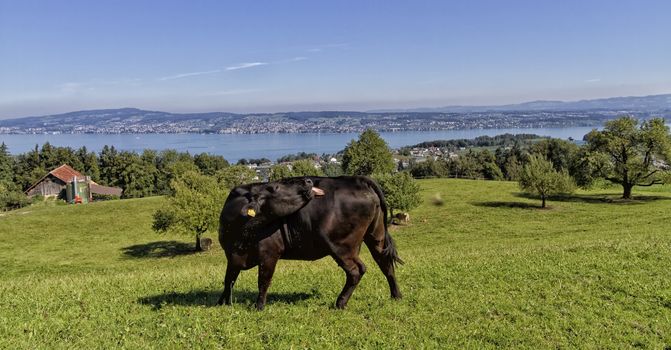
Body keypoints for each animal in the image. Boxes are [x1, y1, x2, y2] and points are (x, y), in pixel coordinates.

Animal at [218, 176, 402, 310]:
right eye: (275, 187)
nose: (308, 181)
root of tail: (356, 179)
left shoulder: (269, 253)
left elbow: (263, 280)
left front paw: (259, 306)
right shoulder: (231, 257)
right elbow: (228, 279)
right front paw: (222, 302)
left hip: (340, 246)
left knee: (356, 271)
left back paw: (340, 303)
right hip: (375, 236)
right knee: (385, 264)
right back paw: (396, 296)